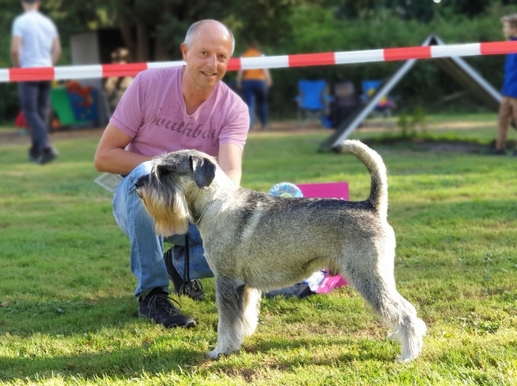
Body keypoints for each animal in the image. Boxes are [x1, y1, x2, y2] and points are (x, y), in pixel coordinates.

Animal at [135, 139, 426, 362]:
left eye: (165, 171)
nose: (137, 185)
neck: (215, 203)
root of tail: (371, 206)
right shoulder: (244, 285)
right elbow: (244, 316)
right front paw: (240, 339)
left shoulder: (226, 281)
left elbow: (226, 322)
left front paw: (220, 350)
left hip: (369, 277)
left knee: (406, 313)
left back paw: (408, 355)